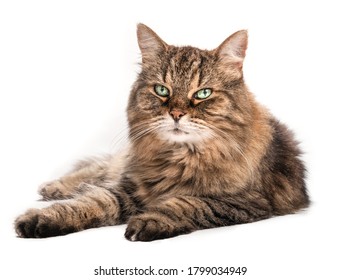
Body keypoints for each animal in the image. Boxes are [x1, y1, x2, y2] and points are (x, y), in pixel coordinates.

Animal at [14, 23, 310, 241]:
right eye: (161, 90)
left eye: (203, 94)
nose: (176, 114)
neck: (180, 158)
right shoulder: (130, 188)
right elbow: (93, 201)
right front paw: (43, 218)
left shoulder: (244, 202)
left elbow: (188, 203)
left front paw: (150, 221)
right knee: (98, 170)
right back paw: (54, 187)